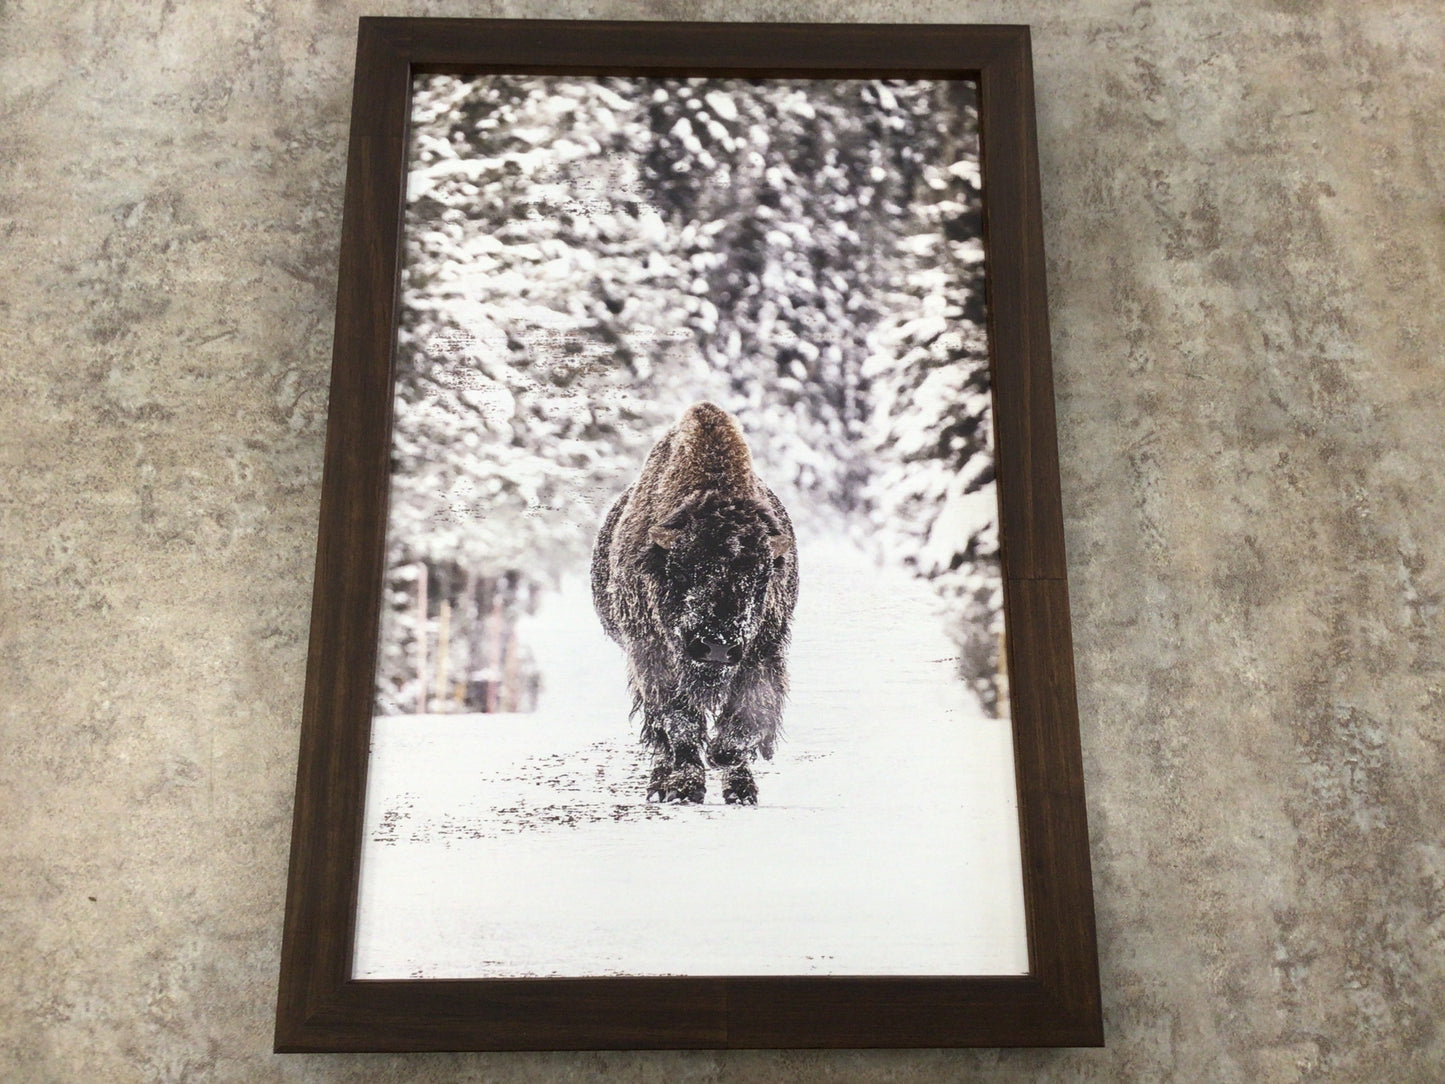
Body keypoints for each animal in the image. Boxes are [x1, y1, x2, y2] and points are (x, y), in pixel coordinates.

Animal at [591, 402, 799, 804]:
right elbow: (679, 723)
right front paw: (686, 788)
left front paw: (733, 776)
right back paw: (661, 784)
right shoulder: (653, 656)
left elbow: (746, 720)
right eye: (684, 569)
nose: (717, 647)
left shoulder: (762, 651)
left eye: (762, 575)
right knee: (659, 734)